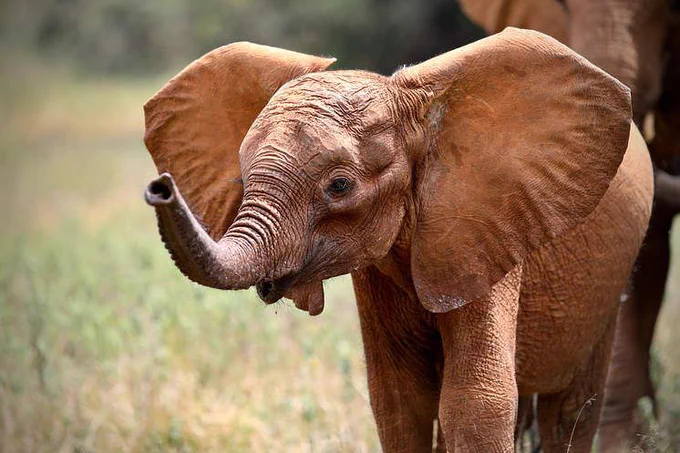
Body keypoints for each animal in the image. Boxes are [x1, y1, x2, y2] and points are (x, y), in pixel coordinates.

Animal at [141, 29, 653, 452]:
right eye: (242, 179)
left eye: (339, 186)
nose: (159, 188)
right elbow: (398, 401)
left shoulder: (481, 227)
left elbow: (476, 402)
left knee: (571, 409)